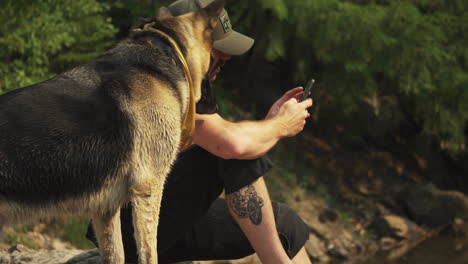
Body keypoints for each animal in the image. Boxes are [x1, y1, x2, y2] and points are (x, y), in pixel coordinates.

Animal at [0, 1, 227, 262]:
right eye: (217, 63)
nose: (217, 109)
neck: (165, 49)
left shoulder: (105, 209)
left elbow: (114, 253)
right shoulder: (148, 189)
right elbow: (149, 252)